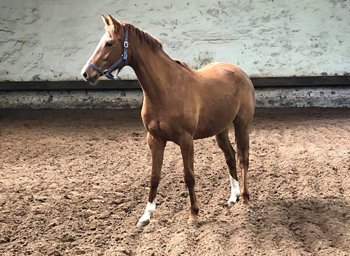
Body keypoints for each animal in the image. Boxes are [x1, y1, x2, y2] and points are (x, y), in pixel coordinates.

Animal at [82, 14, 258, 226]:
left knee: (243, 158)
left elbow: (189, 176)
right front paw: (146, 215)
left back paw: (246, 199)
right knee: (230, 157)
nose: (87, 74)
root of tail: (240, 72)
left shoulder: (186, 140)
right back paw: (233, 197)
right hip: (220, 129)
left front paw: (194, 214)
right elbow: (154, 176)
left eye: (109, 43)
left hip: (242, 124)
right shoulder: (155, 139)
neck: (166, 90)